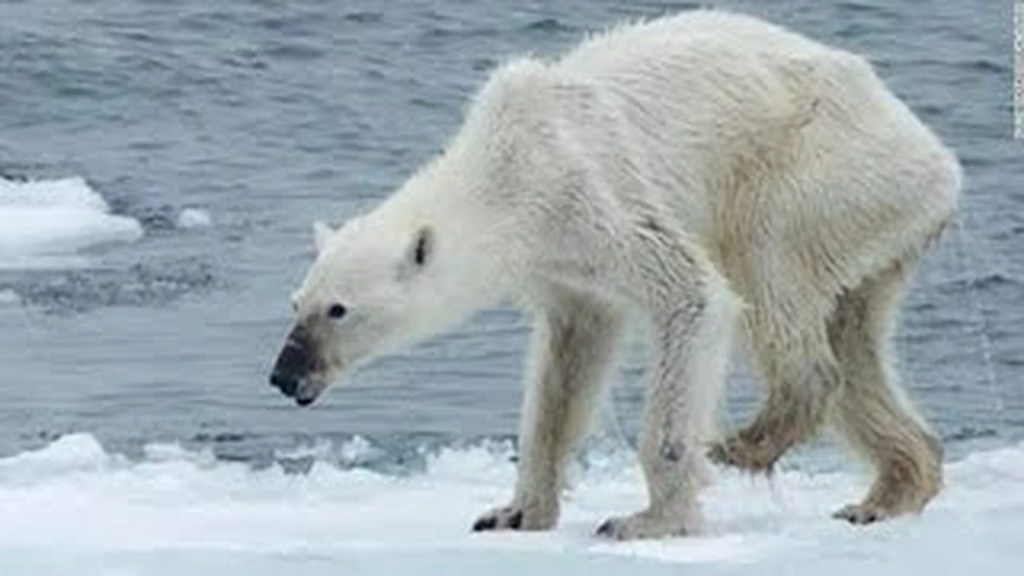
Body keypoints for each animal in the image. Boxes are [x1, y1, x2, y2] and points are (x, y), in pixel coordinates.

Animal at [269, 10, 960, 539]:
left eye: (338, 309)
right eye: (296, 302)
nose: (283, 374)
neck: (507, 167)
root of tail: (939, 161)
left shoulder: (591, 192)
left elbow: (694, 297)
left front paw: (648, 520)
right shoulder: (561, 265)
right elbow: (567, 365)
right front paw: (513, 511)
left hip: (819, 170)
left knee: (769, 266)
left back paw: (749, 440)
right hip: (875, 225)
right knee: (855, 337)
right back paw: (888, 491)